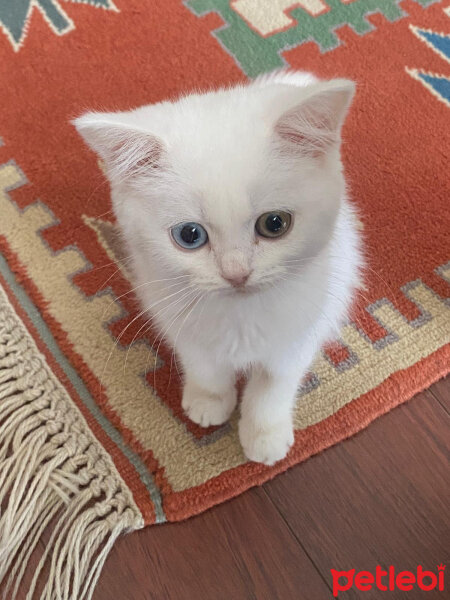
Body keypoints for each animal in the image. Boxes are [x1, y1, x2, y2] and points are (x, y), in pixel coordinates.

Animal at [74, 70, 362, 464]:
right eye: (189, 235)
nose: (236, 273)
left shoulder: (302, 328)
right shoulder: (171, 311)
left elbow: (274, 383)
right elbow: (203, 363)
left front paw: (264, 433)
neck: (239, 318)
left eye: (275, 224)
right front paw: (208, 400)